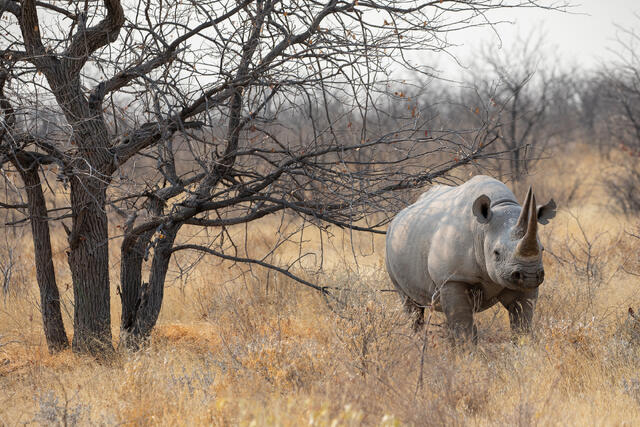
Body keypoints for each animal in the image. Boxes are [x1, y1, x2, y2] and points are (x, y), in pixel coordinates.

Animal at [385, 175, 556, 341]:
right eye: (496, 253)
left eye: (542, 249)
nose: (529, 275)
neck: (482, 229)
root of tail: (396, 218)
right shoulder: (452, 278)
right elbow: (462, 321)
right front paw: (467, 350)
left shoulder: (520, 282)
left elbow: (522, 318)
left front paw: (523, 343)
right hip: (391, 245)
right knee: (411, 306)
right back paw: (416, 339)